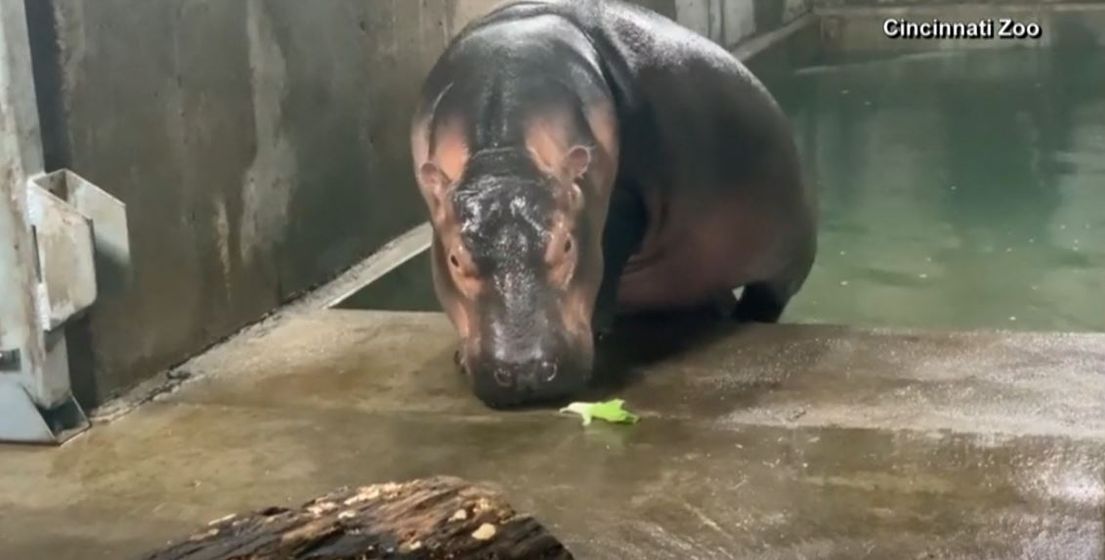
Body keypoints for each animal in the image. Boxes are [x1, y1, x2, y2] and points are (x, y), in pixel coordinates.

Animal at [409, 0, 817, 408]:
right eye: (454, 259)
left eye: (567, 245)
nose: (525, 371)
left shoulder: (623, 203)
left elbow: (609, 257)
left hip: (785, 260)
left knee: (766, 298)